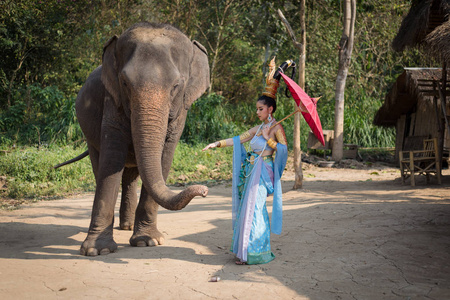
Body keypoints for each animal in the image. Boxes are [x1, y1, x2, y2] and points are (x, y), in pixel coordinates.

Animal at [73, 22, 211, 255]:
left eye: (176, 86)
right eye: (124, 83)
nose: (204, 191)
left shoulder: (180, 114)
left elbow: (164, 158)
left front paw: (148, 241)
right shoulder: (113, 100)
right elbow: (111, 161)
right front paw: (97, 251)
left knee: (130, 175)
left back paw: (127, 227)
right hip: (89, 135)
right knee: (100, 165)